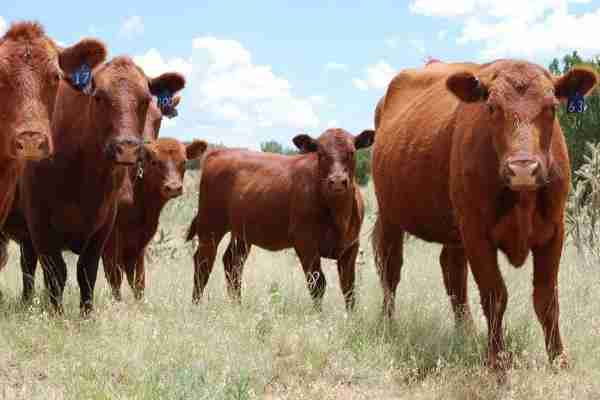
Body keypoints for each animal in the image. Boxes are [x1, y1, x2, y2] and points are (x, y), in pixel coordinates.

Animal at [188, 128, 376, 310]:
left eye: (352, 152)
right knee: (203, 262)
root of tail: (219, 152)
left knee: (232, 263)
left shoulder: (351, 247)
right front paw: (318, 316)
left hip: (241, 233)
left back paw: (236, 306)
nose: (337, 181)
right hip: (210, 225)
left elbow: (349, 288)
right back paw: (196, 306)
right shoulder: (305, 244)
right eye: (320, 154)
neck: (339, 214)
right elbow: (318, 284)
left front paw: (350, 317)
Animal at [372, 59, 596, 368]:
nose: (522, 169)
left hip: (453, 229)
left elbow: (546, 297)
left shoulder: (554, 230)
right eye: (491, 107)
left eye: (552, 106)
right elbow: (494, 295)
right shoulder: (477, 233)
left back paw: (465, 331)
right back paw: (387, 324)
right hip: (390, 214)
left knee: (452, 271)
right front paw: (496, 357)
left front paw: (558, 358)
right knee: (390, 269)